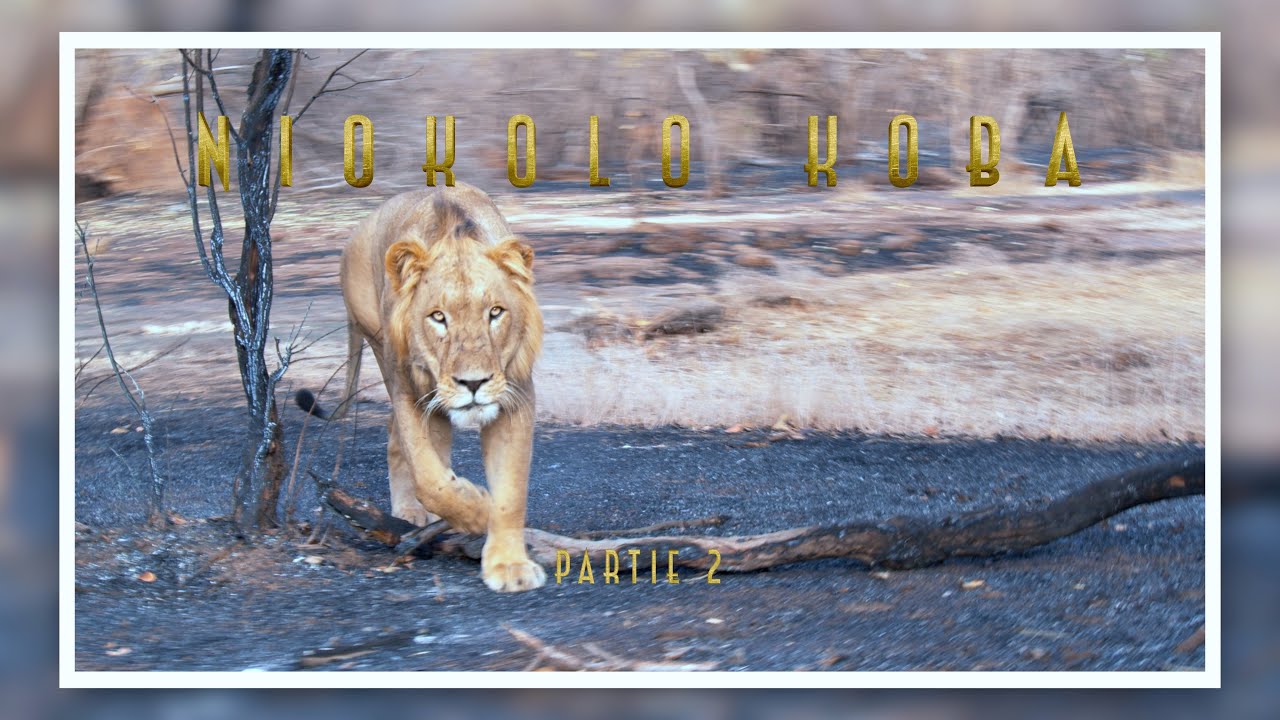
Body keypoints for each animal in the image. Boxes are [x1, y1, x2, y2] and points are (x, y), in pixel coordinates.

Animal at [298, 184, 545, 592]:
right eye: (438, 317)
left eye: (495, 312)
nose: (473, 382)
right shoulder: (412, 393)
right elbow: (430, 480)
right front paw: (477, 510)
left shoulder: (515, 395)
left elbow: (511, 490)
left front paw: (509, 565)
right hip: (381, 347)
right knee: (399, 439)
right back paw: (412, 511)